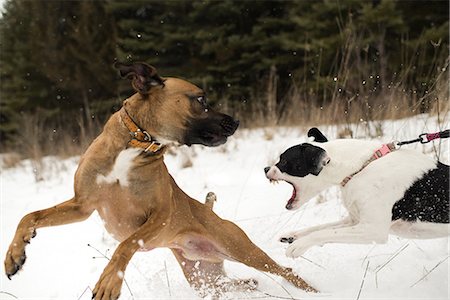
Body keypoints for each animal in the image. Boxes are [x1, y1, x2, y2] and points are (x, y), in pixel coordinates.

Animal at [5, 62, 318, 298]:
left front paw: (109, 281)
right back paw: (250, 284)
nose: (236, 122)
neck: (137, 140)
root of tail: (209, 213)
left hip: (242, 249)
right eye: (201, 99)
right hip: (202, 276)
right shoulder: (82, 205)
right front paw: (14, 254)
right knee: (228, 285)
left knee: (284, 271)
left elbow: (126, 244)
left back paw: (312, 289)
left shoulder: (160, 215)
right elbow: (30, 216)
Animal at [266, 127, 448, 258]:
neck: (360, 167)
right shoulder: (354, 220)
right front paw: (292, 236)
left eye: (283, 160)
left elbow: (324, 233)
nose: (266, 169)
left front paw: (299, 245)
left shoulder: (372, 230)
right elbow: (321, 228)